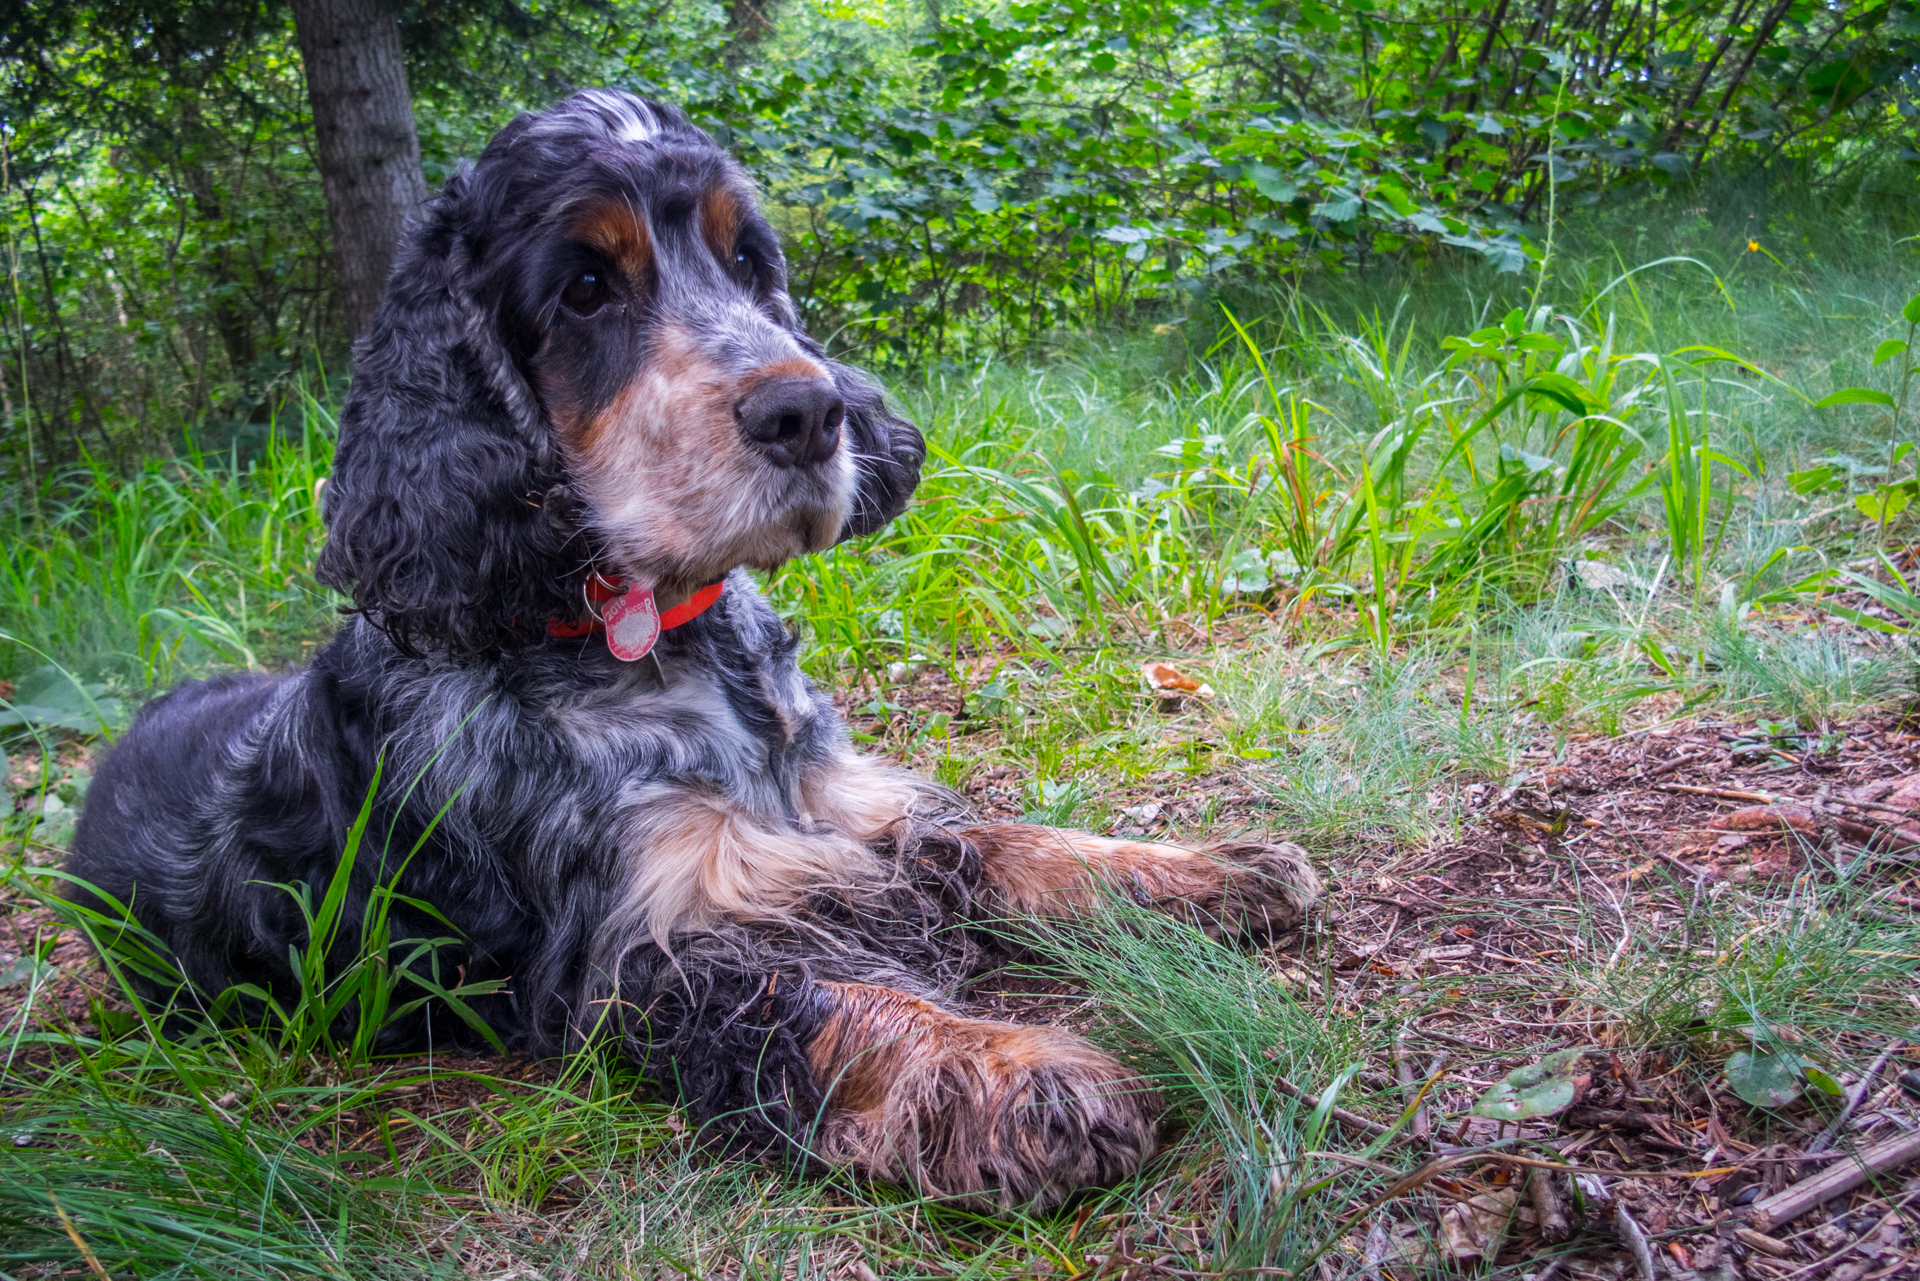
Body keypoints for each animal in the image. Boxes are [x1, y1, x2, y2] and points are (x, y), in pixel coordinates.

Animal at [63, 92, 1320, 1213]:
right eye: (584, 288)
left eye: (747, 258)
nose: (810, 413)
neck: (657, 639)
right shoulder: (653, 946)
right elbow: (843, 1005)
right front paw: (1019, 1080)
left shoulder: (844, 801)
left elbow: (1011, 839)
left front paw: (1210, 871)